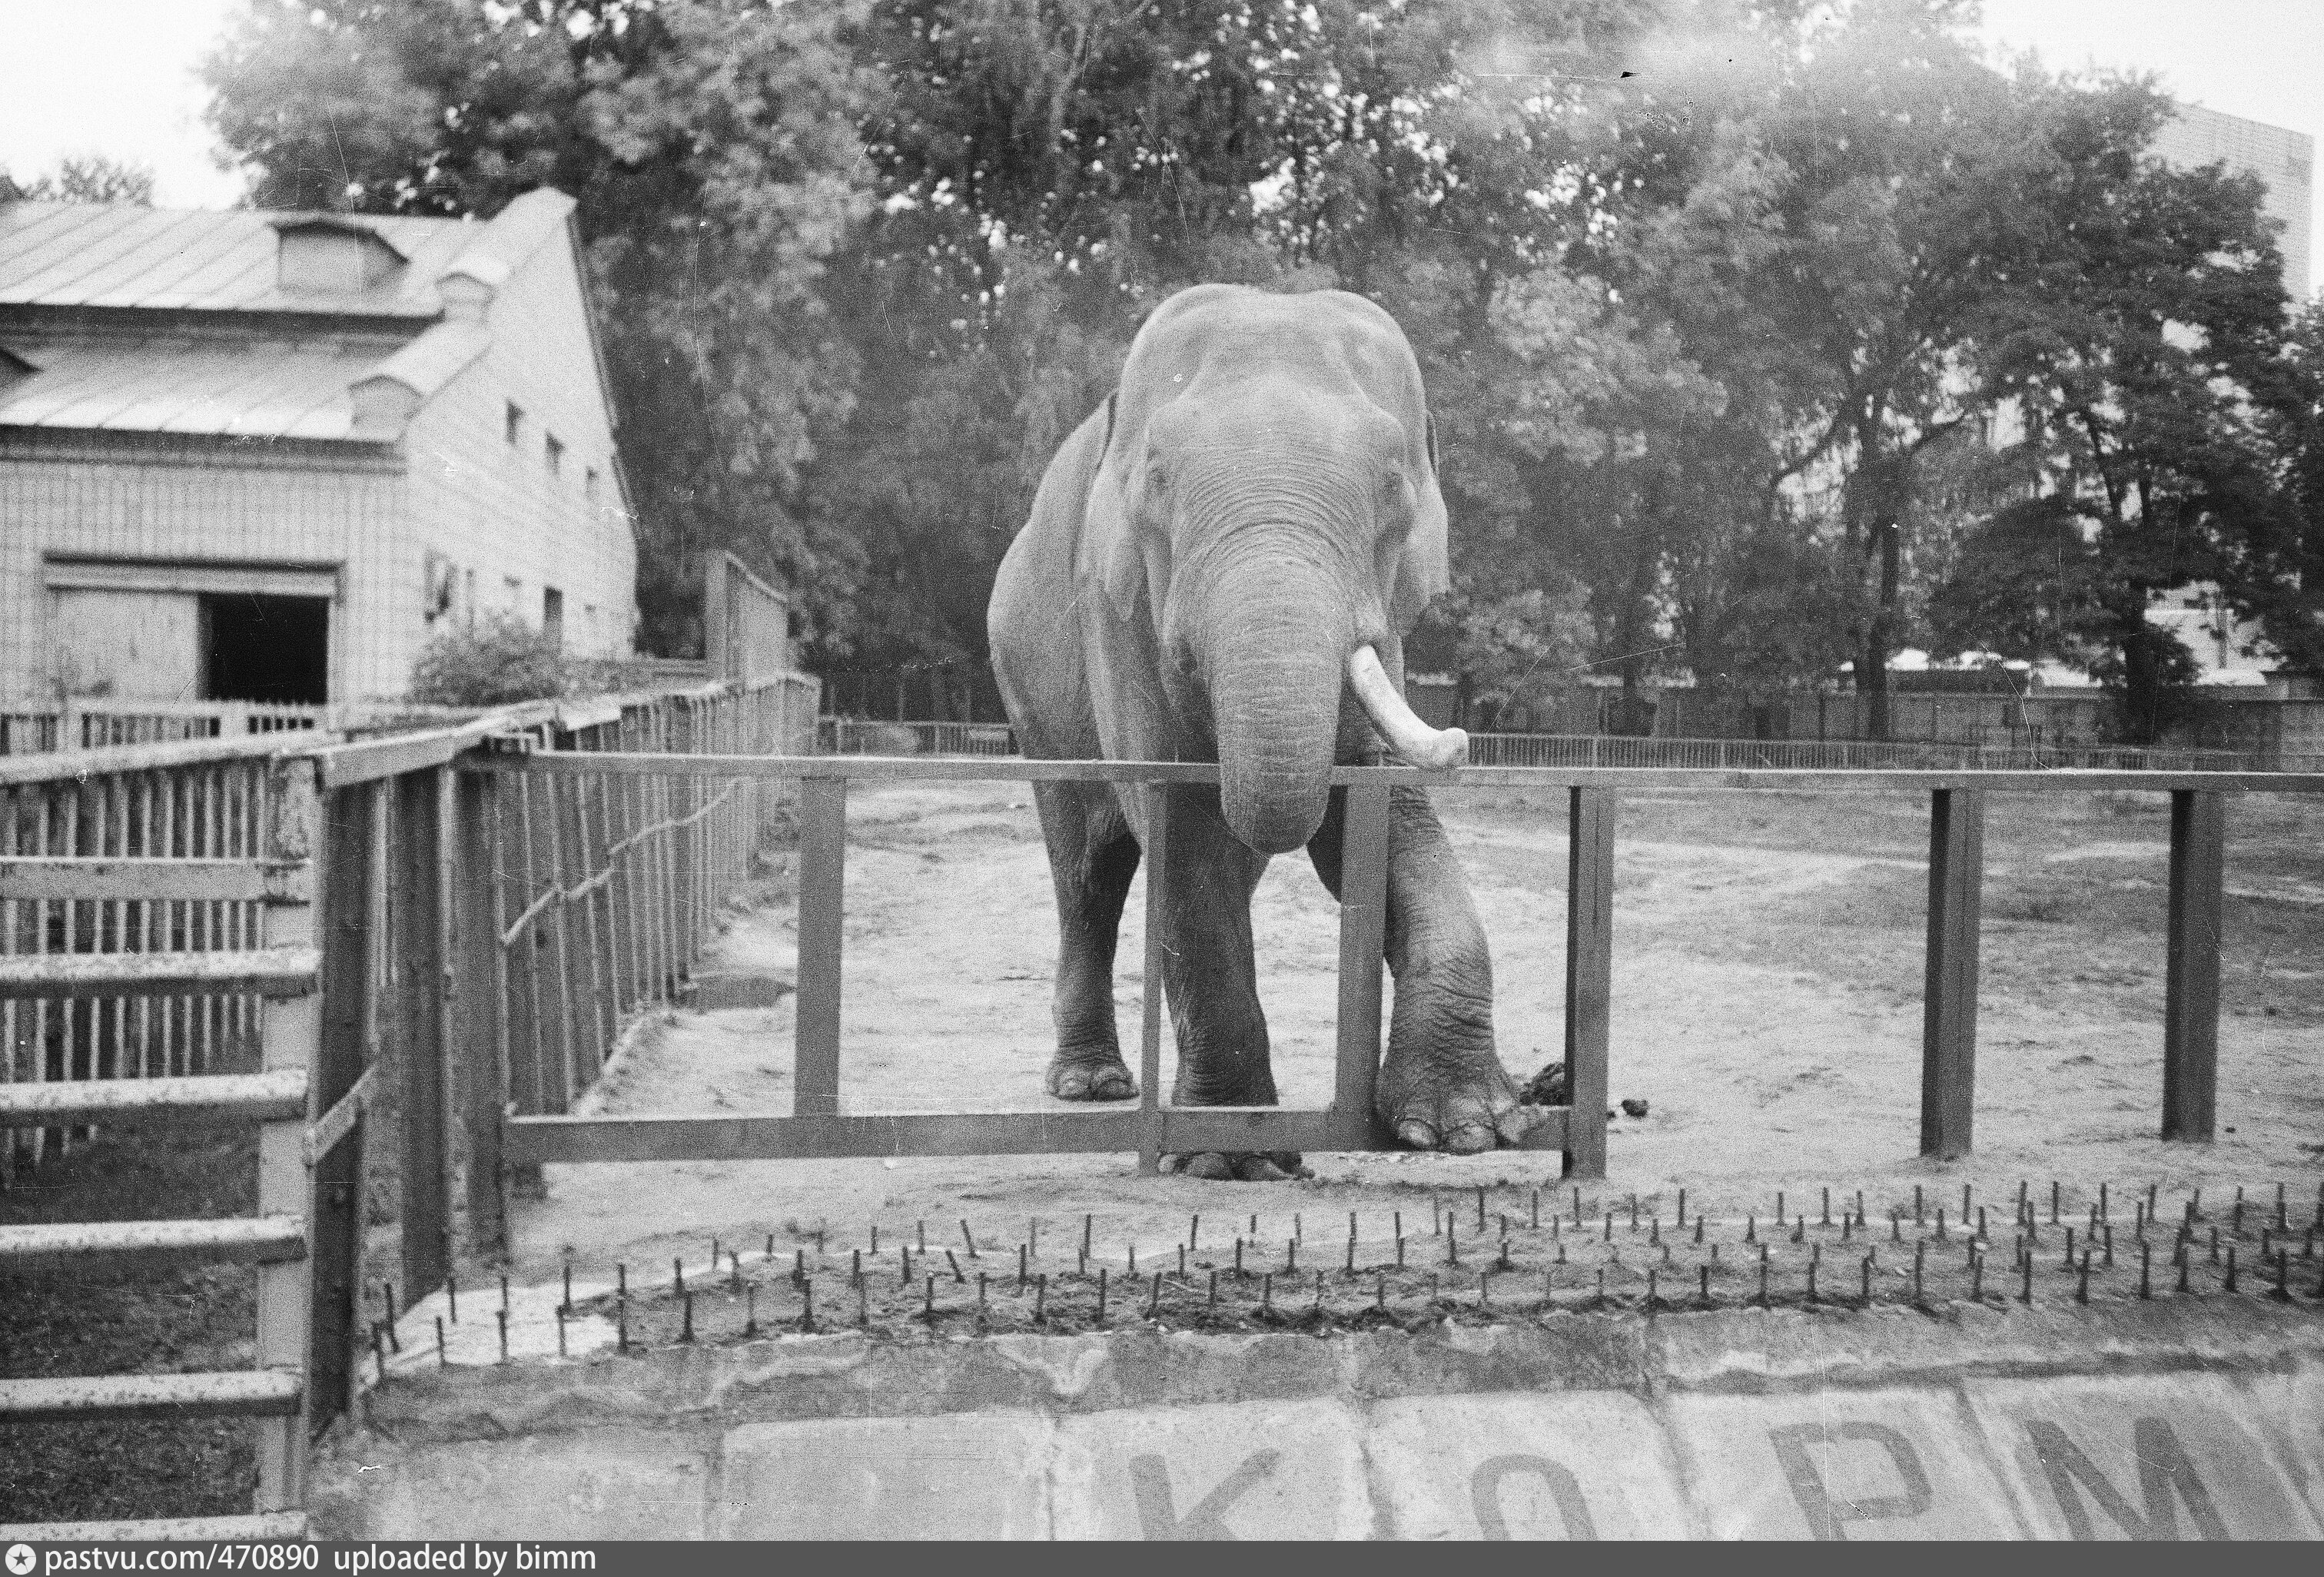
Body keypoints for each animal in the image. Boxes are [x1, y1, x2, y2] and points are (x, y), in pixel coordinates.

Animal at [985, 283, 1542, 1180]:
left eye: (1393, 487)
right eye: (1157, 481)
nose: (1461, 738)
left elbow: (1372, 819)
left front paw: (1466, 1129)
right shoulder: (1114, 609)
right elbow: (1180, 823)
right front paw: (1233, 1157)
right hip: (1028, 688)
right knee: (1088, 872)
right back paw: (1092, 1086)